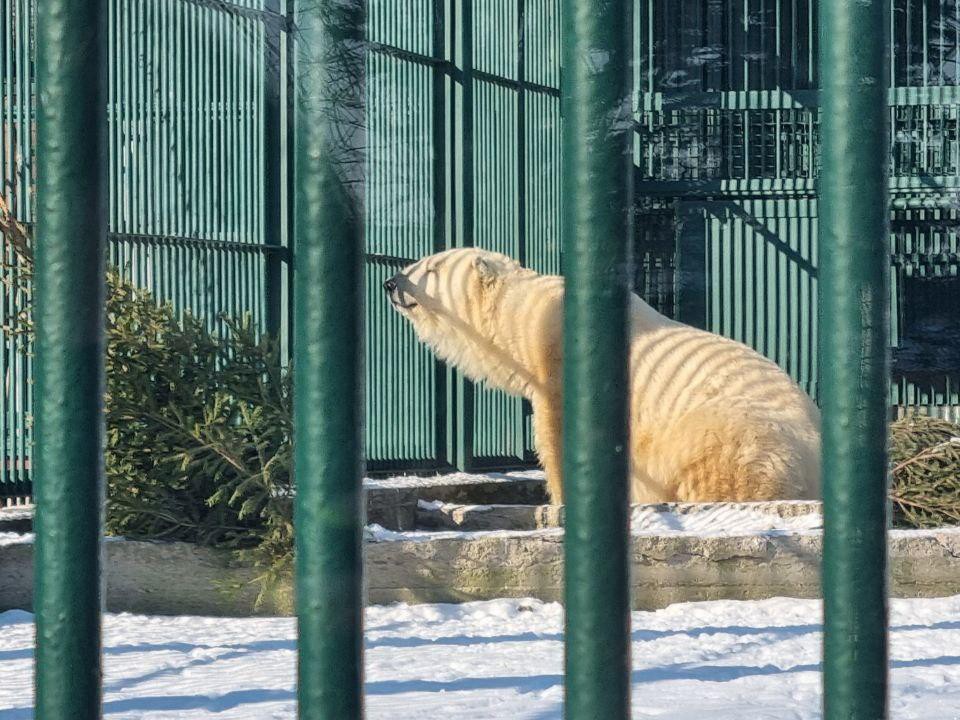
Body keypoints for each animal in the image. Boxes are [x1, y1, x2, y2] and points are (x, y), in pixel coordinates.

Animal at [386, 245, 820, 504]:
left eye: (432, 267)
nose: (391, 282)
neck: (528, 316)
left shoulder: (559, 361)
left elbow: (559, 433)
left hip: (734, 429)